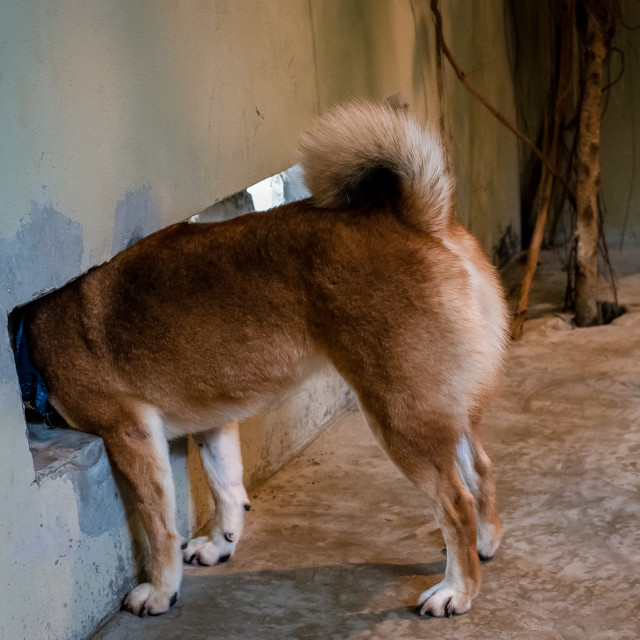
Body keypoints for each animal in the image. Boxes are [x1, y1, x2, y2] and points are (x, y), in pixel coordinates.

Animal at [22, 102, 508, 616]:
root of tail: (421, 219)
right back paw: (484, 544)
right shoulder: (212, 422)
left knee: (455, 504)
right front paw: (220, 543)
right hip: (440, 406)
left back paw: (457, 589)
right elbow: (227, 489)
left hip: (400, 416)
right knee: (480, 470)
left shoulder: (129, 434)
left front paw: (159, 589)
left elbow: (160, 530)